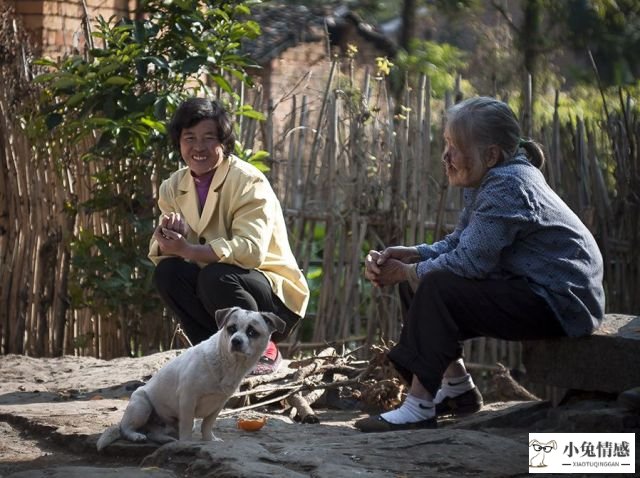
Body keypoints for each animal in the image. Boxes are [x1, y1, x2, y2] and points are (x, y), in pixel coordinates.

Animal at [95, 308, 284, 450]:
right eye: (231, 328)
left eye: (252, 332)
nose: (236, 341)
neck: (230, 364)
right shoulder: (188, 399)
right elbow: (186, 425)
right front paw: (186, 443)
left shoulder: (218, 404)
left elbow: (207, 424)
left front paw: (209, 439)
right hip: (142, 406)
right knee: (125, 428)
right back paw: (136, 436)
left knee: (155, 434)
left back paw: (167, 440)